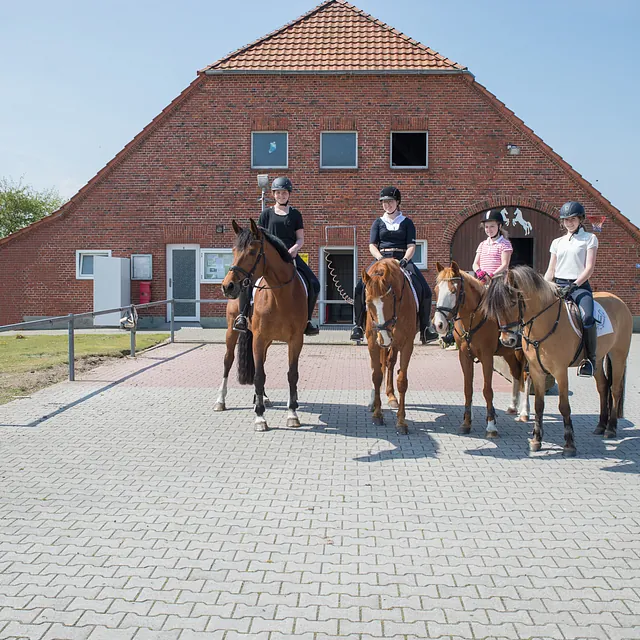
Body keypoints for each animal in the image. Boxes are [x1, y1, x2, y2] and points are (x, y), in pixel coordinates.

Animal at [220, 218, 308, 432]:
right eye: (233, 250)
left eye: (252, 252)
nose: (227, 286)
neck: (280, 296)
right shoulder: (259, 338)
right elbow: (259, 375)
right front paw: (260, 417)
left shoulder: (295, 340)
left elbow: (292, 375)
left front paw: (292, 413)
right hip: (232, 332)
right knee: (228, 360)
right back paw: (221, 401)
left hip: (266, 342)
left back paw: (262, 398)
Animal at [362, 258, 418, 436]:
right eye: (368, 303)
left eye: (389, 301)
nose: (384, 337)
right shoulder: (373, 343)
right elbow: (376, 376)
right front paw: (377, 414)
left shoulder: (407, 344)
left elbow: (402, 381)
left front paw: (401, 422)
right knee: (382, 366)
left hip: (395, 344)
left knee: (390, 363)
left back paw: (391, 396)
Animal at [432, 262, 532, 438]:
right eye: (437, 290)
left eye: (453, 291)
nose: (439, 325)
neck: (475, 317)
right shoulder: (464, 356)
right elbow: (468, 389)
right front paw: (466, 422)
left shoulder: (487, 357)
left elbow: (487, 390)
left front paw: (491, 425)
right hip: (509, 352)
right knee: (515, 373)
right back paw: (513, 406)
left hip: (523, 352)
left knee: (526, 378)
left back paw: (525, 412)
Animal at [484, 264, 632, 456]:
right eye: (494, 308)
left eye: (513, 303)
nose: (507, 341)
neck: (544, 324)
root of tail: (619, 301)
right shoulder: (536, 370)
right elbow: (539, 405)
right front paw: (536, 441)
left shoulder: (560, 371)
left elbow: (564, 406)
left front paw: (569, 445)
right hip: (598, 360)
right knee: (603, 386)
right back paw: (600, 426)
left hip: (618, 355)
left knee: (615, 390)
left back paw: (611, 428)